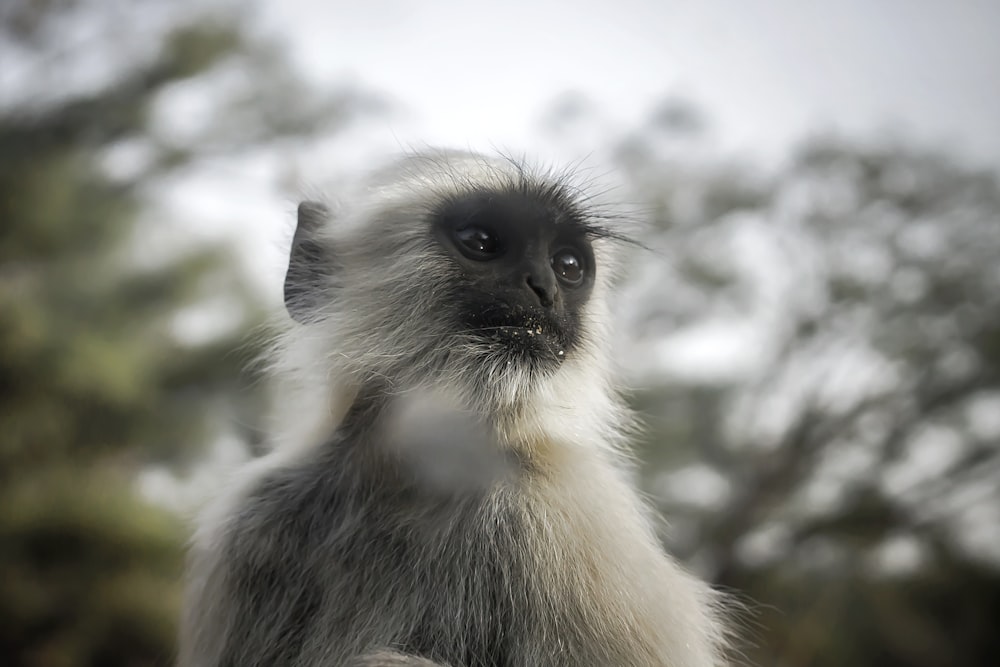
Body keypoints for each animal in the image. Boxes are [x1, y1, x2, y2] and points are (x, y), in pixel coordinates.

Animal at [178, 153, 728, 667]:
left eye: (569, 267)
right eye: (481, 240)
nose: (544, 287)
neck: (414, 475)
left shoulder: (576, 512)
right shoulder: (253, 520)